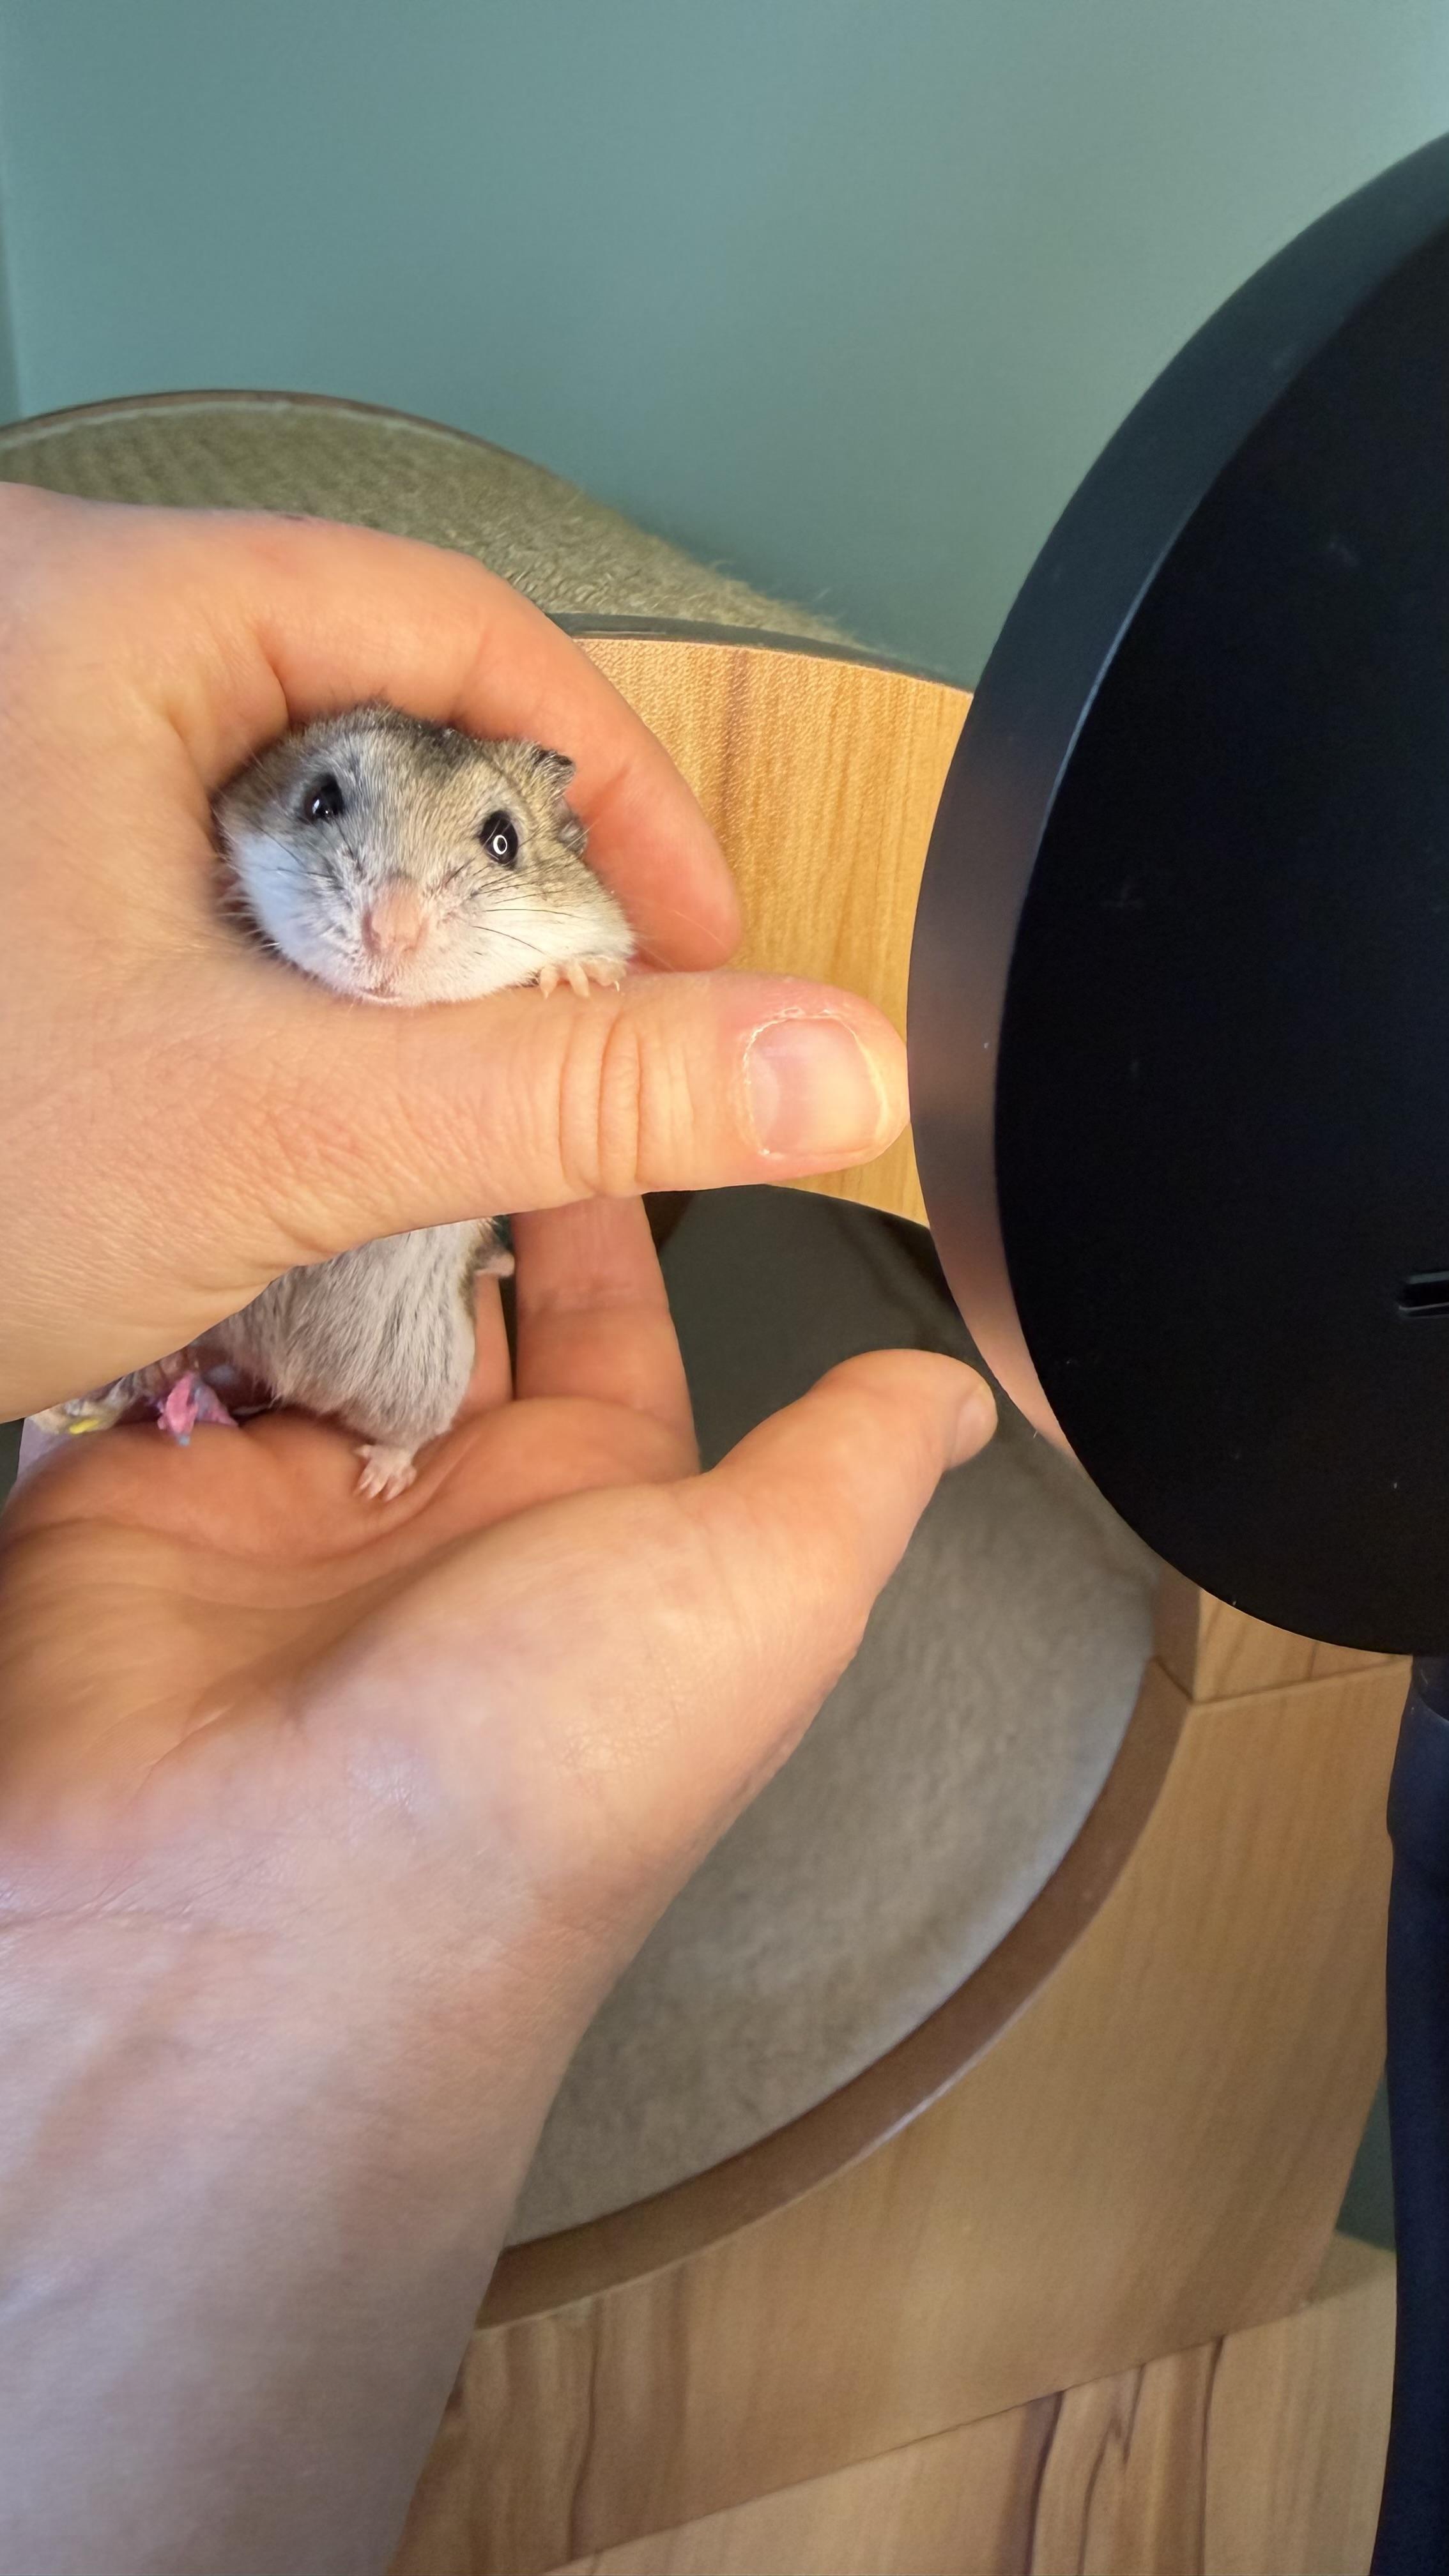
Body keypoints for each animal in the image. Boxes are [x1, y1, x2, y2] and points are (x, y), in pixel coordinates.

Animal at [38, 708, 635, 1498]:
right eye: (320, 801)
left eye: (504, 840)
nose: (392, 931)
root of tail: (291, 1377)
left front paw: (576, 978)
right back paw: (153, 1375)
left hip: (429, 1370)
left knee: (410, 1430)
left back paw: (379, 1480)